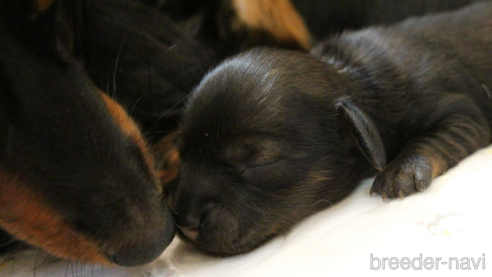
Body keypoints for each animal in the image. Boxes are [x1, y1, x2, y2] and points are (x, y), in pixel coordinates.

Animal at [165, 3, 492, 256]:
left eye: (258, 160)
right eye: (182, 155)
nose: (185, 223)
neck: (353, 76)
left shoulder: (458, 110)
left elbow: (443, 132)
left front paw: (402, 171)